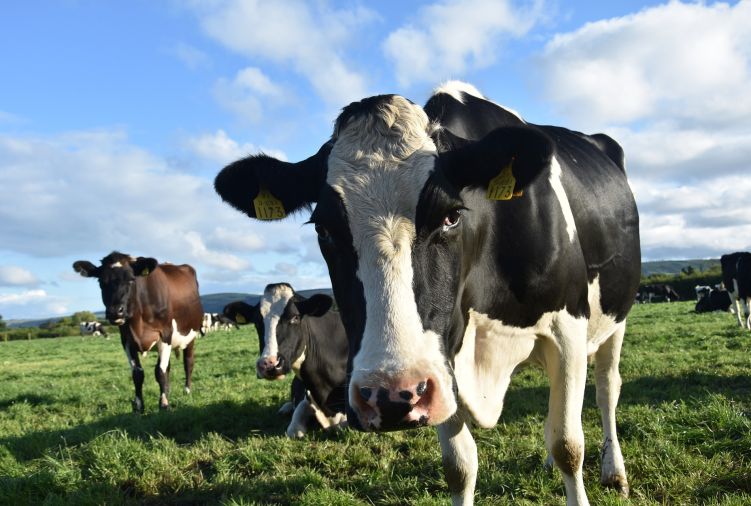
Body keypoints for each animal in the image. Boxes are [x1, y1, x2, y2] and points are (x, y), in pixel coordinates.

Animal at [73, 251, 203, 414]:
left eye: (131, 279)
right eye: (101, 282)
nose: (115, 311)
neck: (138, 322)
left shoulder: (165, 335)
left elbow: (160, 372)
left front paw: (163, 404)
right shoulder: (127, 340)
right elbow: (138, 374)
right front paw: (139, 406)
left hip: (190, 336)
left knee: (188, 362)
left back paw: (187, 390)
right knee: (168, 367)